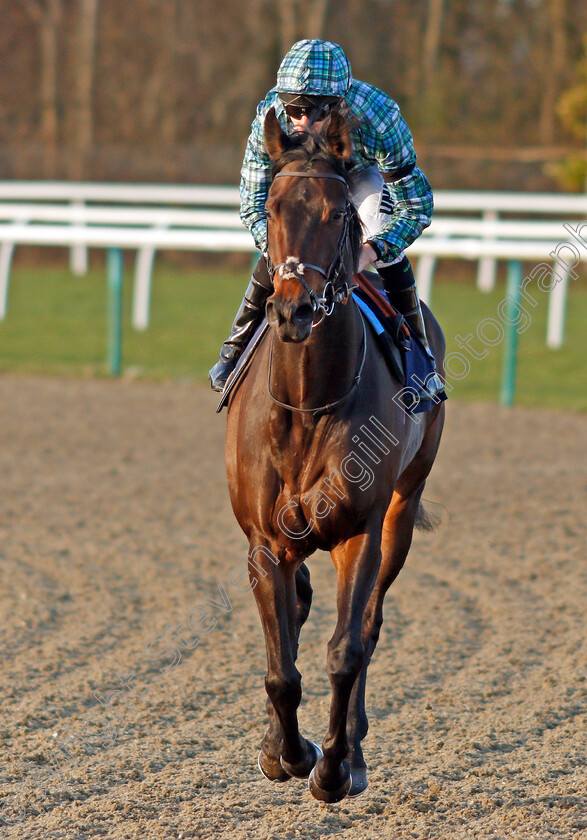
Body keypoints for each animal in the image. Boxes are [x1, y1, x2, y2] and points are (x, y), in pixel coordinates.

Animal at [225, 108, 446, 804]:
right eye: (271, 208)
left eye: (339, 214)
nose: (294, 309)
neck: (309, 403)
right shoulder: (265, 539)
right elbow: (282, 665)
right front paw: (285, 752)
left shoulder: (361, 530)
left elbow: (346, 649)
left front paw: (333, 766)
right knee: (296, 613)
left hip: (403, 510)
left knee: (370, 625)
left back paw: (354, 747)